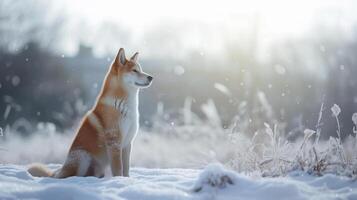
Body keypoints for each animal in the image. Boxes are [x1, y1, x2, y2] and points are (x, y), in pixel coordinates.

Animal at [28, 48, 153, 178]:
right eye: (134, 70)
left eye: (140, 70)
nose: (151, 77)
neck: (124, 106)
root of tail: (60, 170)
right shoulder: (114, 142)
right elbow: (118, 169)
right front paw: (118, 180)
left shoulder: (127, 144)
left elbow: (126, 169)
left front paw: (127, 180)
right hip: (83, 157)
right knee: (71, 175)